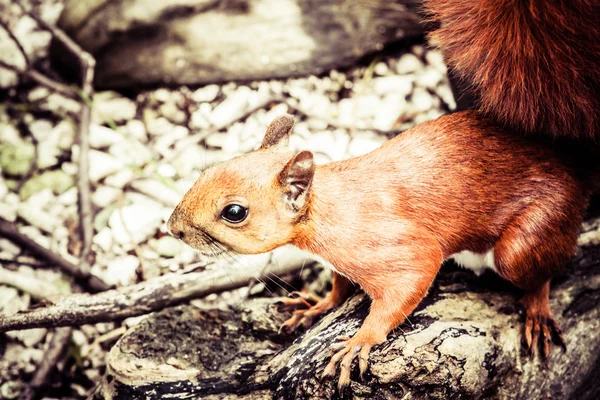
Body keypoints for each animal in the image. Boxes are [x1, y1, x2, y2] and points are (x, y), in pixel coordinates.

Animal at [165, 0, 600, 392]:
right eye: (207, 171)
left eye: (234, 212)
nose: (172, 228)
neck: (328, 211)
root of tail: (572, 166)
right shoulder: (340, 262)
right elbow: (340, 287)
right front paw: (318, 305)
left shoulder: (396, 246)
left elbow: (408, 282)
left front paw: (359, 341)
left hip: (528, 237)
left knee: (539, 271)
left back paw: (537, 309)